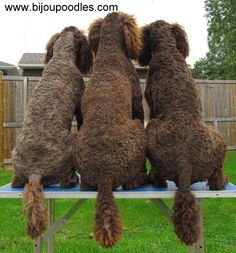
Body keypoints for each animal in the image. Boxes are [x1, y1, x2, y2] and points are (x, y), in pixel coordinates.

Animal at [11, 25, 93, 239]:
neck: (61, 57)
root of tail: (35, 173)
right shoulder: (80, 105)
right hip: (72, 141)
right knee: (65, 181)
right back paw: (72, 180)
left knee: (16, 183)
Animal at [74, 11, 148, 247]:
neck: (110, 52)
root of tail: (104, 176)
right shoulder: (137, 106)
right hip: (137, 128)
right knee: (132, 181)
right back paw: (141, 178)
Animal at [138, 20, 227, 246]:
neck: (167, 51)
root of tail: (184, 164)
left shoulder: (151, 105)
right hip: (218, 138)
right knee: (216, 175)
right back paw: (221, 182)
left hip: (151, 128)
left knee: (158, 175)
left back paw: (153, 178)